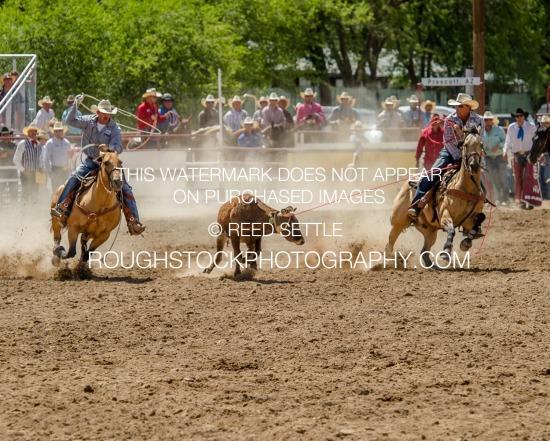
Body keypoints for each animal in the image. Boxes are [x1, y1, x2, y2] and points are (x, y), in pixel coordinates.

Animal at [388, 125, 488, 266]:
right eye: (465, 144)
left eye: (481, 144)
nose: (473, 166)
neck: (465, 189)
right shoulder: (444, 215)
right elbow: (451, 230)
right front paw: (446, 251)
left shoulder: (469, 220)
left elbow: (480, 218)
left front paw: (466, 242)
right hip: (398, 222)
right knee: (389, 244)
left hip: (430, 229)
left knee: (424, 251)